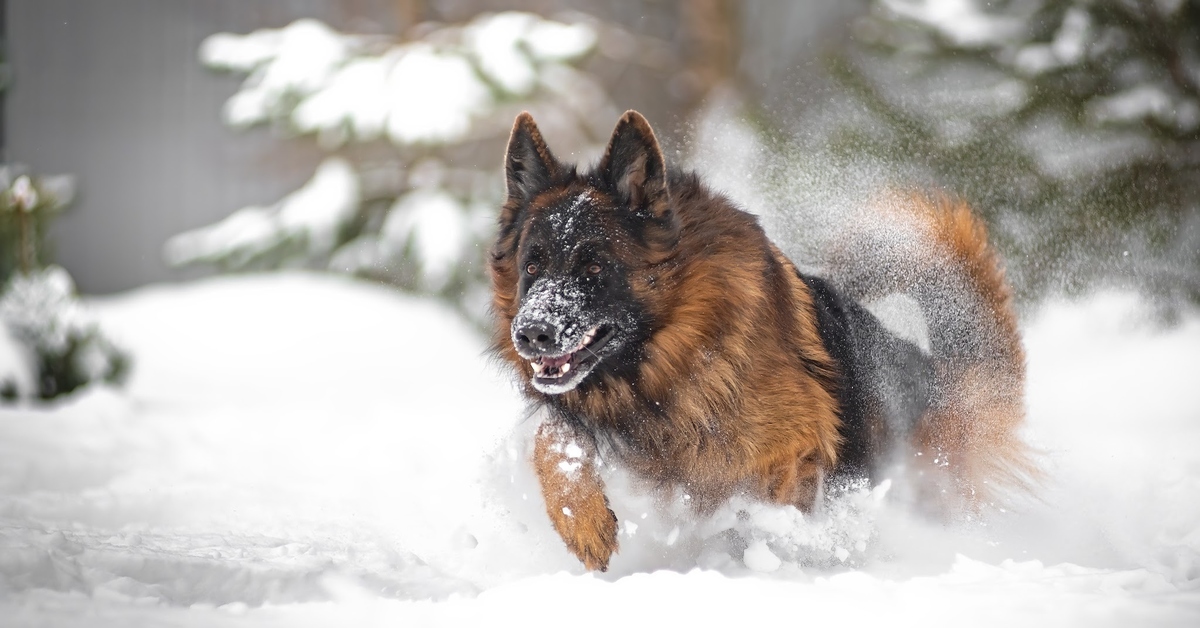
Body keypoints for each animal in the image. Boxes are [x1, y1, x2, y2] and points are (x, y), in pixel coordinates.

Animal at [487, 110, 1032, 571]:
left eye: (595, 268)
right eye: (532, 266)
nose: (531, 334)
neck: (678, 348)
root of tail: (938, 378)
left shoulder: (791, 446)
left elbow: (754, 501)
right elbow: (552, 435)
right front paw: (583, 523)